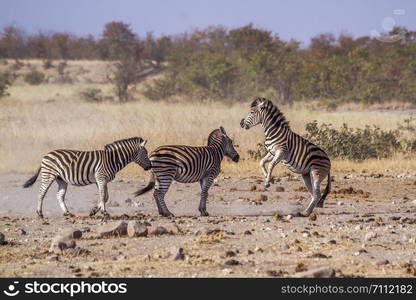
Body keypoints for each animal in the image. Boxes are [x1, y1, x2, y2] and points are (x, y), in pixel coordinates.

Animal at [22, 137, 151, 218]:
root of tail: (45, 155)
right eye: (145, 154)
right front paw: (104, 213)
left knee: (59, 196)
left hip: (61, 179)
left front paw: (94, 211)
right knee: (41, 193)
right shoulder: (101, 178)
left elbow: (106, 197)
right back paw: (40, 214)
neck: (112, 159)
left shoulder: (101, 180)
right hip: (48, 175)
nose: (150, 166)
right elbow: (103, 196)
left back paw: (68, 213)